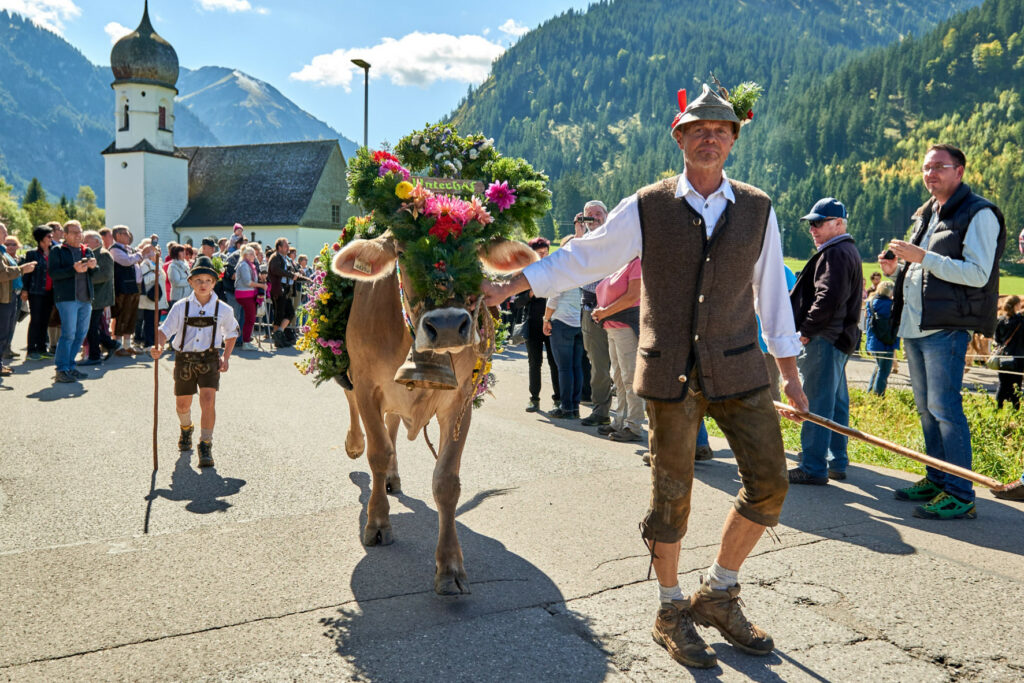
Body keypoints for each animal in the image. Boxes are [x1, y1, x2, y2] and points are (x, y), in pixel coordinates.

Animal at [296, 125, 552, 593]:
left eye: (477, 251)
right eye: (400, 248)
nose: (448, 325)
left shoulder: (460, 399)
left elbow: (446, 481)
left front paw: (449, 565)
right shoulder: (368, 382)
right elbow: (376, 451)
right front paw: (377, 524)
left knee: (395, 427)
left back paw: (394, 477)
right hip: (350, 369)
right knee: (358, 414)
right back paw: (358, 448)